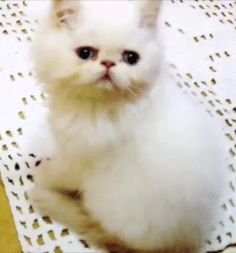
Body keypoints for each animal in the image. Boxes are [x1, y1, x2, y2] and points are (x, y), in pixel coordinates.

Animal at [30, 0, 227, 252]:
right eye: (85, 53)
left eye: (131, 58)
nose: (108, 63)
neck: (99, 107)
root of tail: (183, 242)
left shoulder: (78, 160)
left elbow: (58, 174)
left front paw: (42, 174)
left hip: (106, 201)